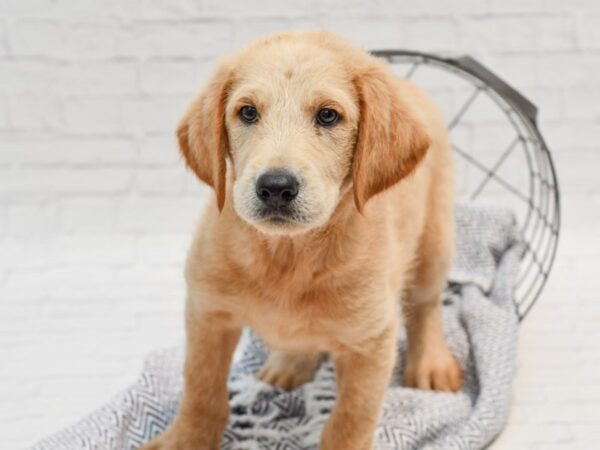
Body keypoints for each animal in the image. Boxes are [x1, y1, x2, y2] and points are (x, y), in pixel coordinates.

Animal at [143, 30, 462, 450]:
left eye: (328, 115)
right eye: (248, 112)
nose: (276, 187)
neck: (287, 255)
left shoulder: (372, 341)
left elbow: (350, 421)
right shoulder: (206, 313)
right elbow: (201, 390)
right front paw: (185, 439)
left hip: (434, 243)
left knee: (426, 306)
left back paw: (432, 364)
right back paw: (289, 363)